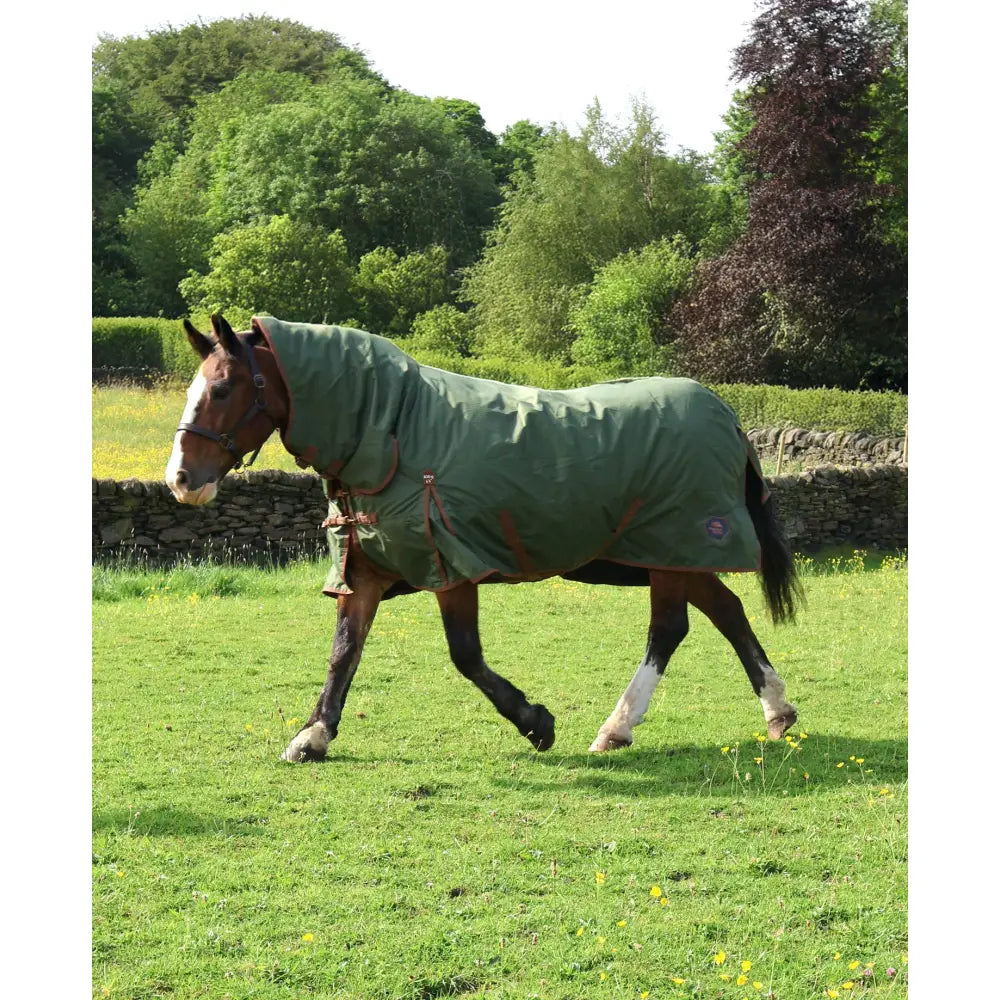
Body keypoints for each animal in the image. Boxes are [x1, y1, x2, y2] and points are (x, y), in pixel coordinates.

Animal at [166, 313, 801, 762]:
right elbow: (344, 651)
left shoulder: (450, 564)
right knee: (727, 611)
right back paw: (777, 712)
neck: (393, 432)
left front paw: (535, 722)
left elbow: (466, 655)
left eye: (221, 390)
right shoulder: (364, 570)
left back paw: (616, 728)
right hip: (673, 552)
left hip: (673, 550)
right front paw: (314, 734)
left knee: (670, 629)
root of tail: (727, 416)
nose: (180, 480)